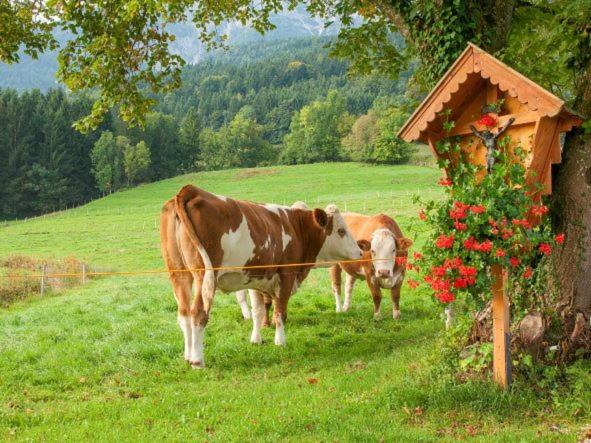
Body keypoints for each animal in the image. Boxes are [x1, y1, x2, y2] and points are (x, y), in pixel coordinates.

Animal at [160, 184, 360, 368]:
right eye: (341, 231)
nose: (359, 251)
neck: (296, 227)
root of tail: (190, 190)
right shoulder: (286, 275)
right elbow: (280, 311)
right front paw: (280, 342)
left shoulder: (255, 278)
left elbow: (257, 311)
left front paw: (256, 340)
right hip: (204, 276)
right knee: (198, 312)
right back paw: (197, 360)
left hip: (179, 274)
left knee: (184, 314)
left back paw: (187, 356)